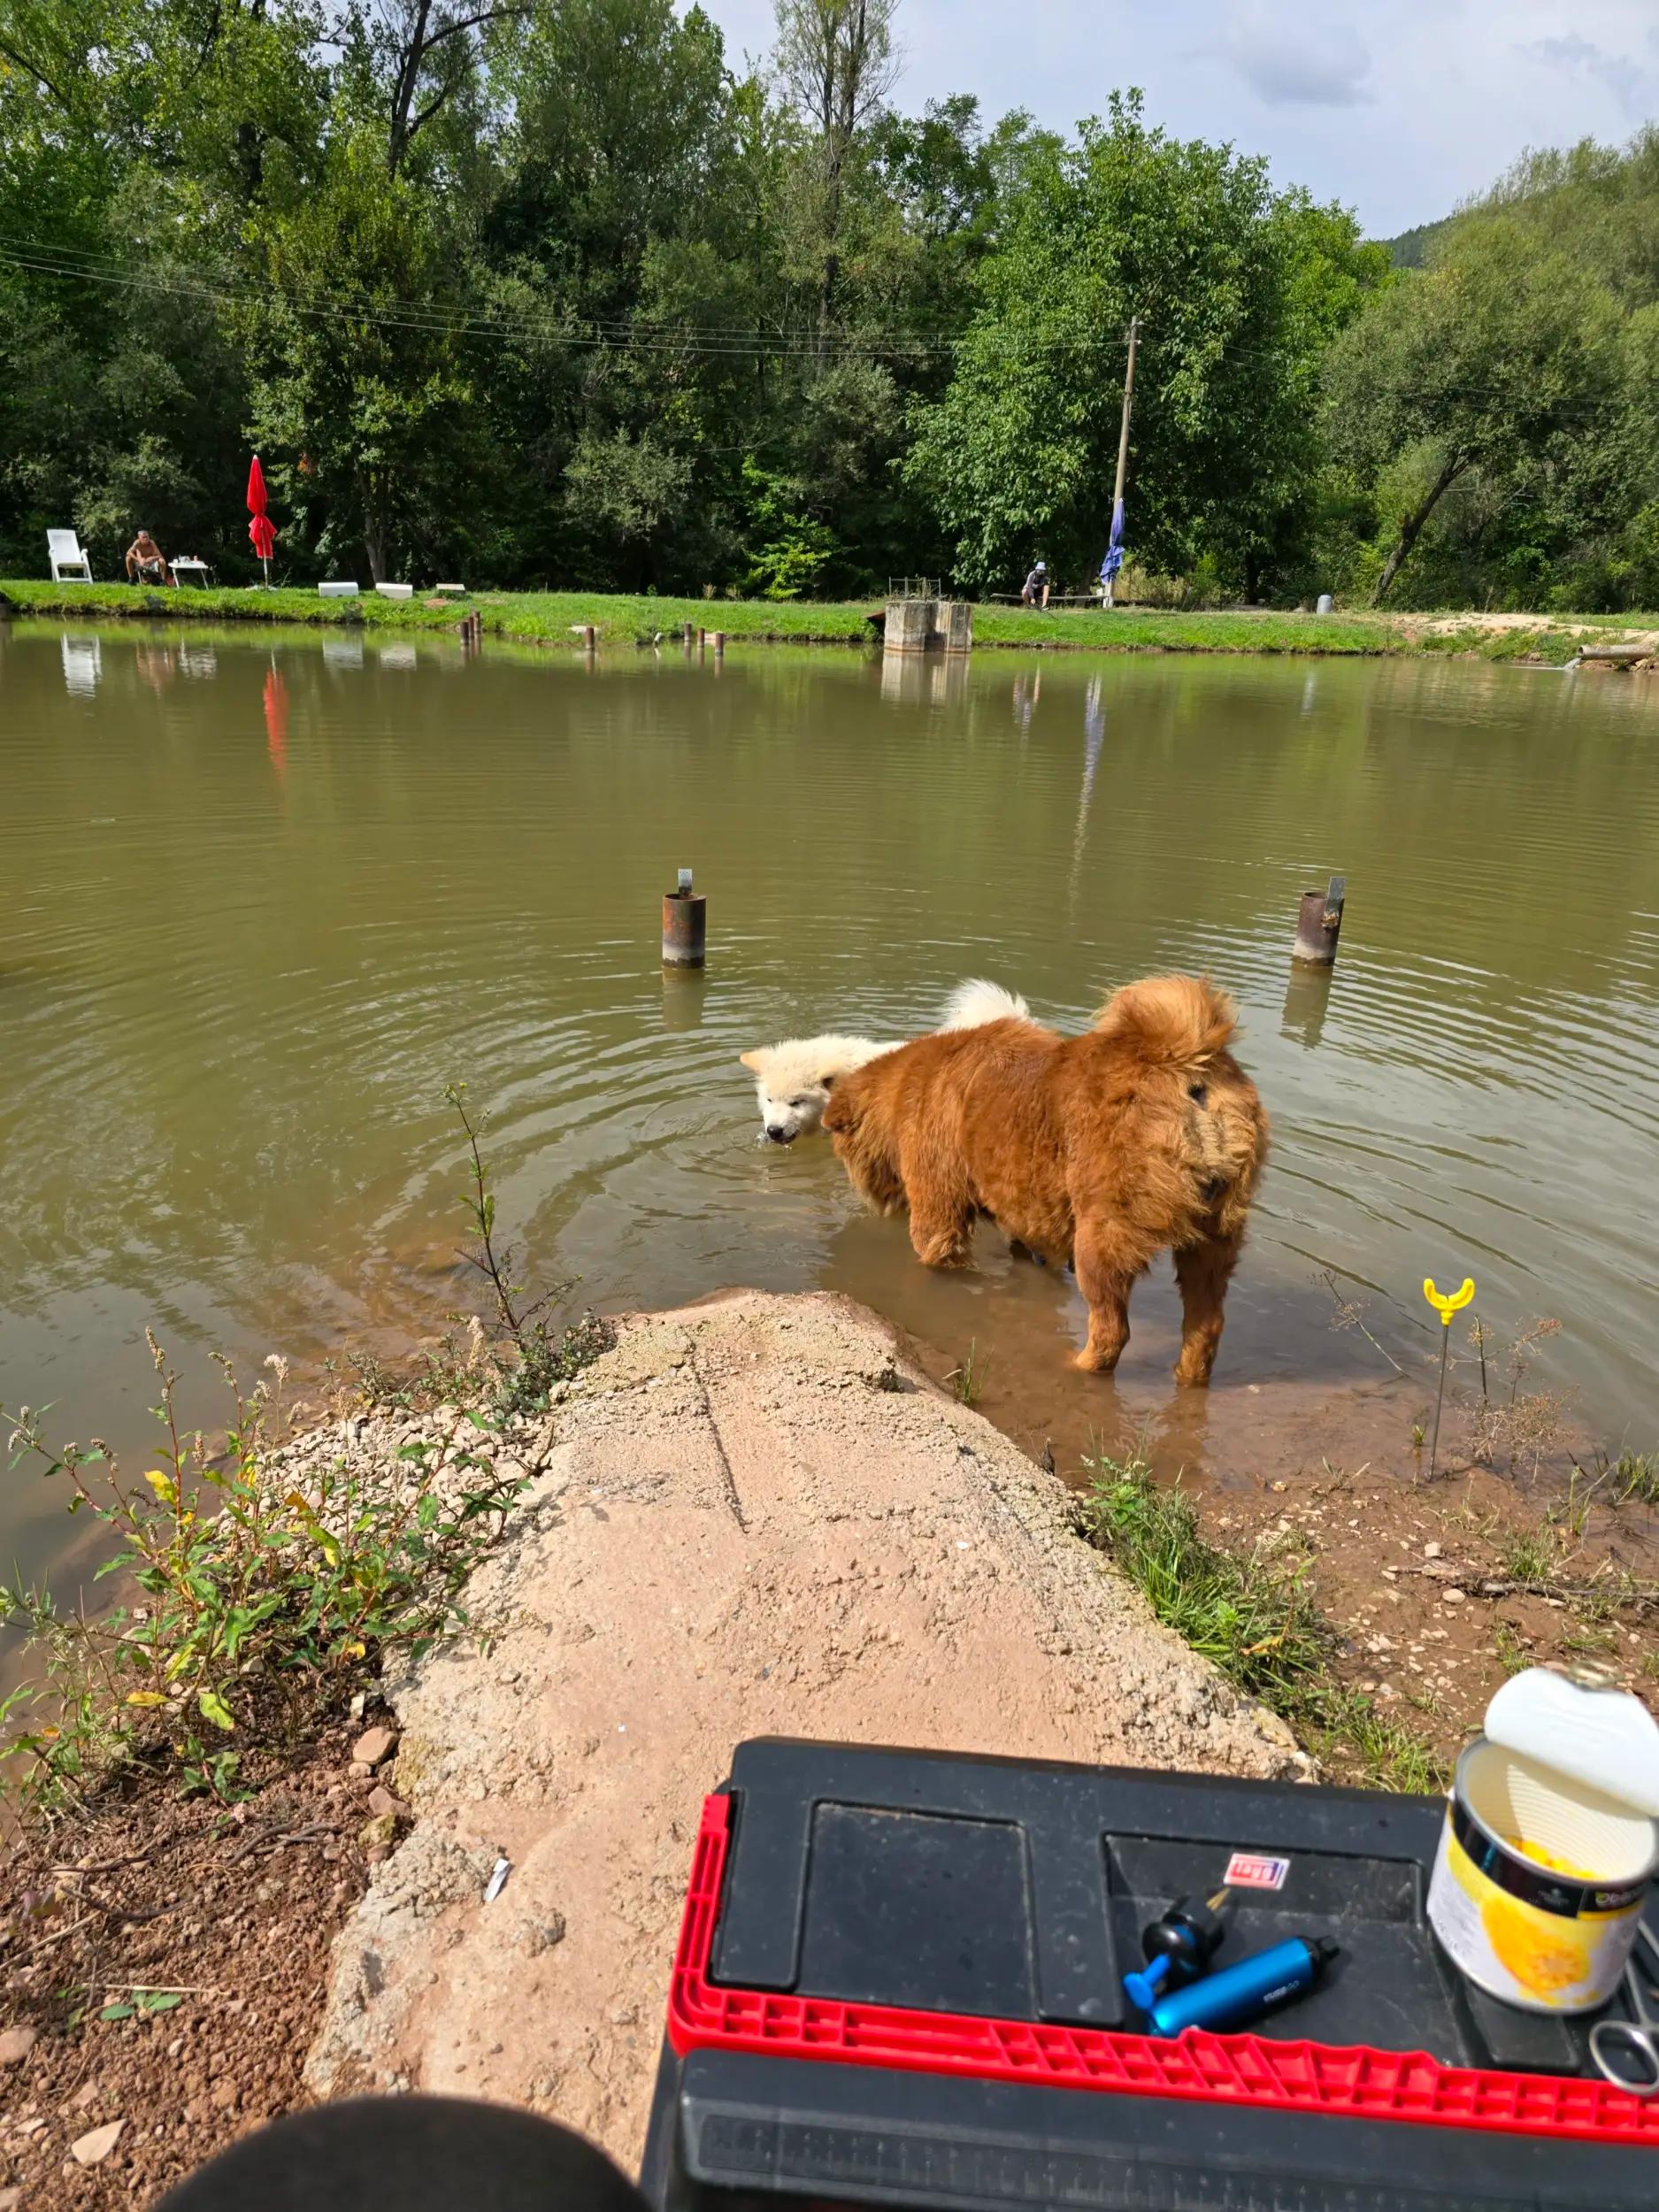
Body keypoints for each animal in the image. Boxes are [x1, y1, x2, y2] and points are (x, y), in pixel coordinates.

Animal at [823, 973, 1274, 1380]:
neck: (906, 1091)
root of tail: (1189, 1066)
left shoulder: (938, 1204)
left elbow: (932, 1255)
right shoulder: (1025, 1212)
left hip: (1101, 1237)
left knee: (1112, 1331)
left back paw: (1076, 1366)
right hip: (1214, 1239)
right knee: (1206, 1326)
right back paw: (1188, 1375)